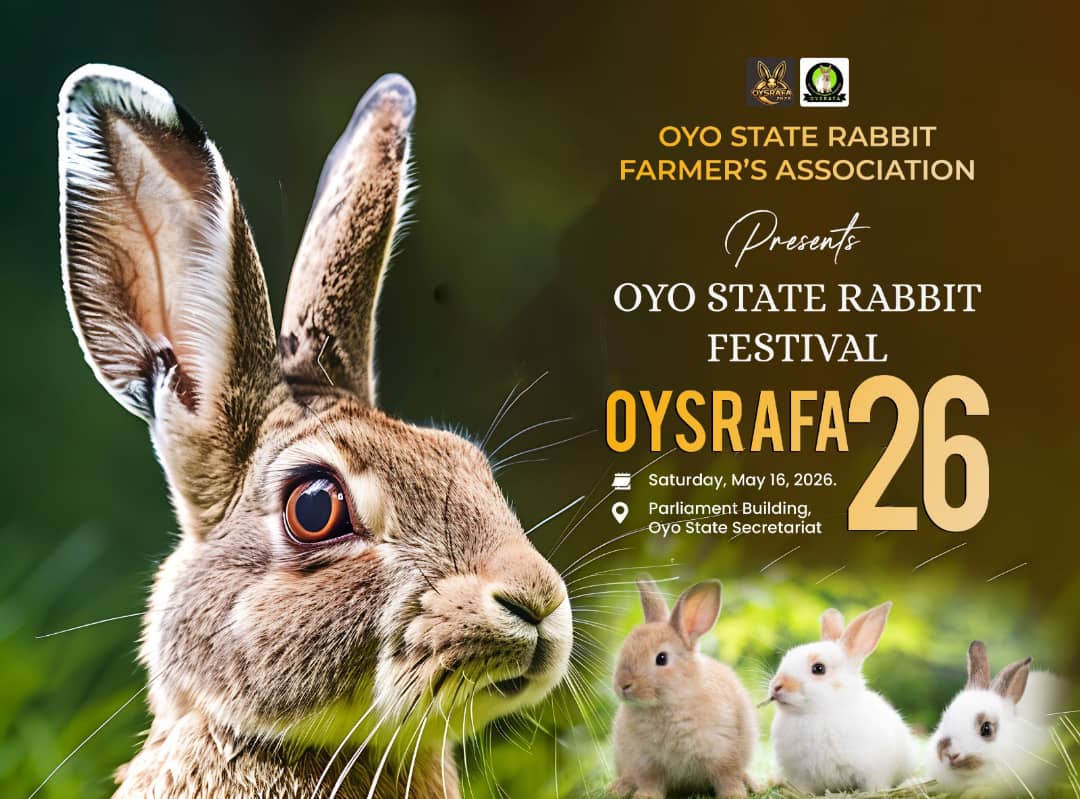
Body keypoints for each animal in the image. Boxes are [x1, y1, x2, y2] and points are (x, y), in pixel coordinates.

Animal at [609, 577, 758, 799]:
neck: (673, 701)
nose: (623, 684)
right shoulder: (646, 760)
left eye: (661, 658)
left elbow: (727, 777)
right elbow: (650, 781)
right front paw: (645, 796)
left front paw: (734, 795)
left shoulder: (722, 751)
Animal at [767, 602, 917, 793]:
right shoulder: (800, 776)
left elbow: (874, 786)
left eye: (818, 668)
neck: (818, 713)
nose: (776, 686)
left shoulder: (874, 772)